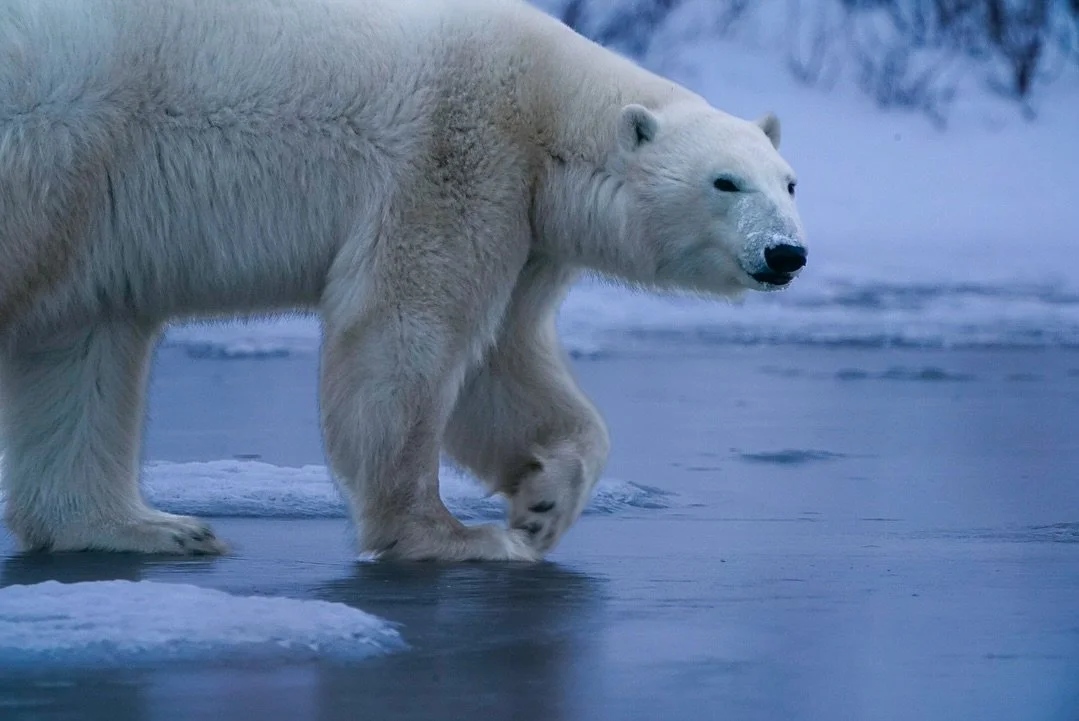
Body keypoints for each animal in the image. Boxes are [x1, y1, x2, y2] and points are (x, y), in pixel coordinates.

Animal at [0, 0, 807, 561]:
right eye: (725, 181)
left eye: (789, 181)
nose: (785, 253)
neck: (543, 104)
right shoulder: (456, 160)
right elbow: (405, 338)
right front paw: (456, 536)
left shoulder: (527, 229)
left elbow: (503, 368)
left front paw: (543, 502)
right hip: (51, 145)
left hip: (86, 211)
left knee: (83, 347)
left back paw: (149, 526)